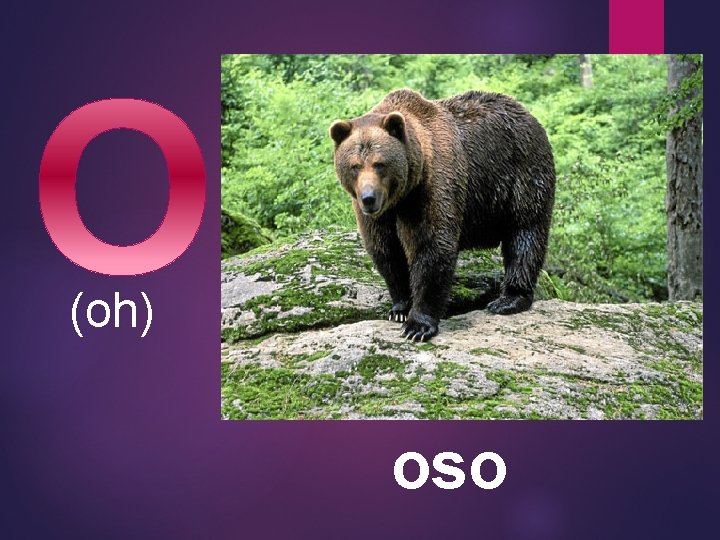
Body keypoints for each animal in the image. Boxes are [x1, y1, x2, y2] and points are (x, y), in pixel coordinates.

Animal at [329, 89, 555, 341]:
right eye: (355, 165)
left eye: (379, 164)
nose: (369, 198)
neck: (401, 196)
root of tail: (527, 112)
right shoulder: (380, 216)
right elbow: (386, 250)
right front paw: (399, 309)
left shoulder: (433, 186)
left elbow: (432, 246)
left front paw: (417, 325)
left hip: (522, 173)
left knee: (525, 232)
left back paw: (508, 299)